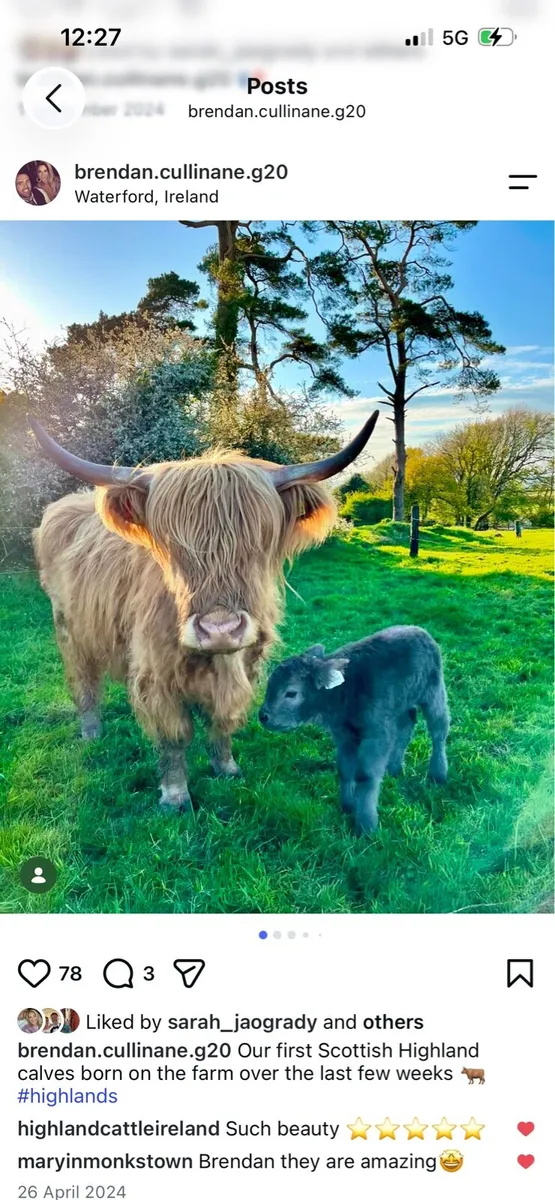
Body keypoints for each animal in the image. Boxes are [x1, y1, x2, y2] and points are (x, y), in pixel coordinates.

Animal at [30, 412, 378, 812]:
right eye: (174, 548)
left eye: (258, 544)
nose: (220, 630)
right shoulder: (157, 673)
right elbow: (174, 734)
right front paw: (175, 794)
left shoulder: (247, 664)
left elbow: (222, 721)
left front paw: (226, 767)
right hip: (69, 630)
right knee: (84, 683)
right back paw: (91, 732)